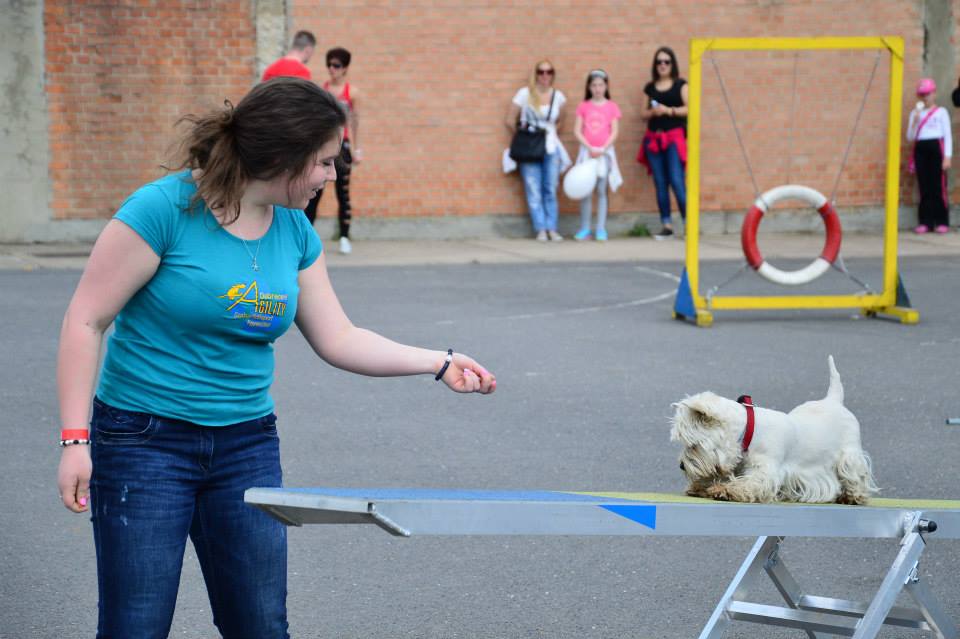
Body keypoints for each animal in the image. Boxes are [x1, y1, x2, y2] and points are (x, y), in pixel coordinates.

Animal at [668, 358, 876, 502]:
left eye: (693, 444)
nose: (681, 466)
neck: (749, 431)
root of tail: (834, 400)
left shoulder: (767, 470)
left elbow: (749, 483)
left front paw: (725, 490)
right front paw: (701, 486)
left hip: (850, 454)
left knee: (855, 475)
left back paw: (853, 496)